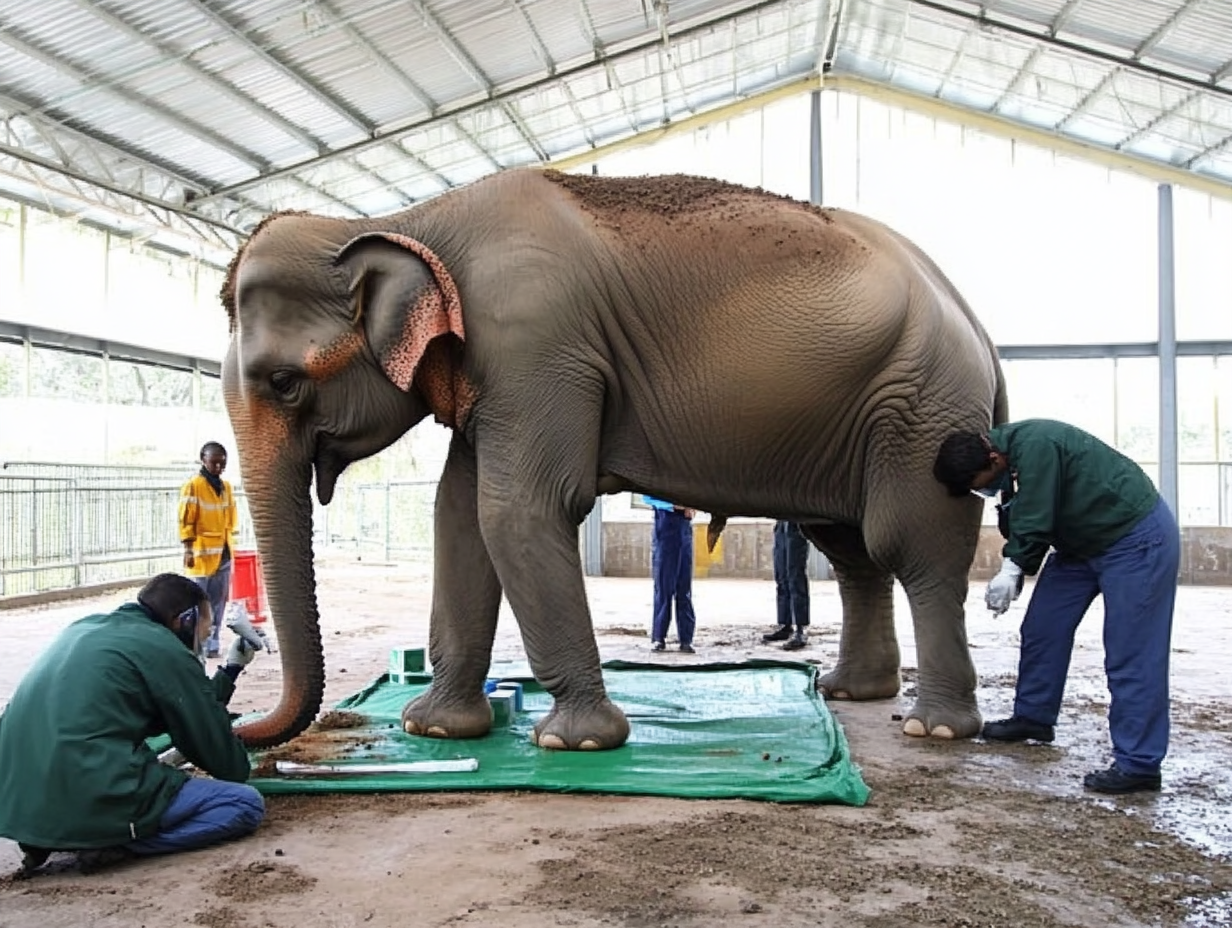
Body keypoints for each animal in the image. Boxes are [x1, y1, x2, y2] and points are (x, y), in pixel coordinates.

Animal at [220, 168, 1006, 751]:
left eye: (284, 382)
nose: (237, 718)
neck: (411, 219)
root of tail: (976, 323)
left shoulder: (537, 342)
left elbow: (519, 511)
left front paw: (578, 742)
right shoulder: (495, 371)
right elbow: (461, 517)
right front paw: (436, 730)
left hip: (924, 410)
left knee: (910, 546)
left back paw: (934, 728)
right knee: (852, 550)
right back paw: (854, 692)